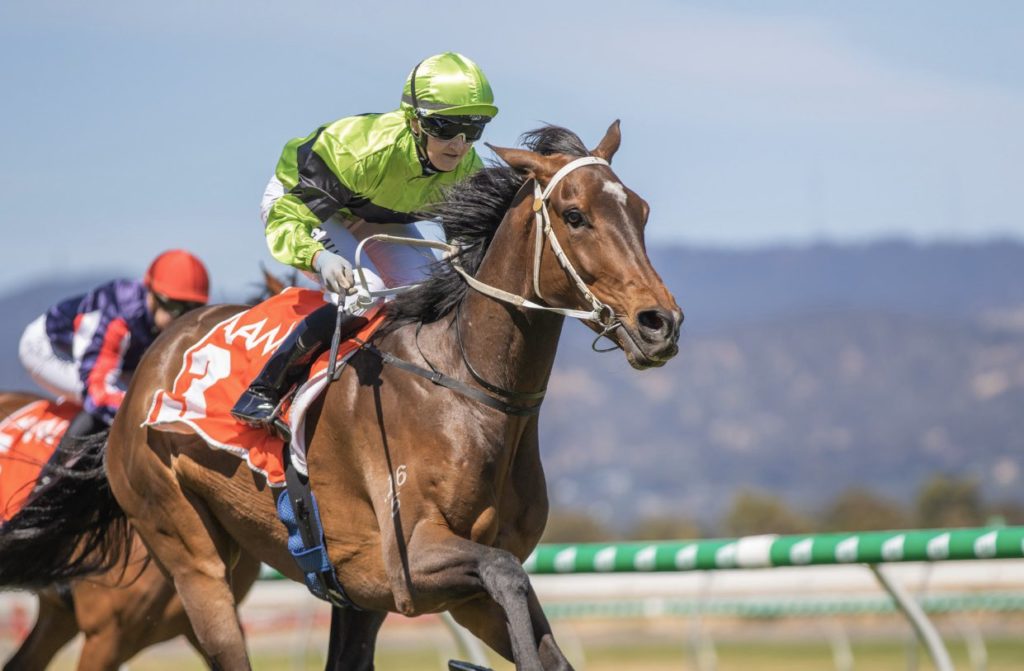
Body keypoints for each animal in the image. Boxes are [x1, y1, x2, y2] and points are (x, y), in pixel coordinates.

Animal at [1, 122, 681, 670]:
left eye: (642, 211)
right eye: (574, 213)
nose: (660, 323)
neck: (468, 394)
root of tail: (154, 360)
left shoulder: (433, 591)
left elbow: (532, 621)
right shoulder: (411, 562)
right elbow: (509, 576)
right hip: (185, 554)